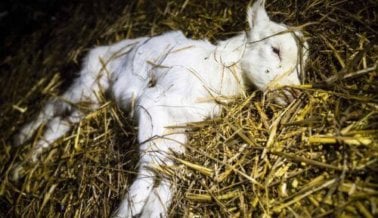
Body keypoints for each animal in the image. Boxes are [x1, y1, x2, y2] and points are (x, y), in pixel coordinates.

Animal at [14, 0, 308, 217]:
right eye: (275, 49)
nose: (295, 93)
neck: (216, 70)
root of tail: (100, 48)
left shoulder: (178, 128)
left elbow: (169, 171)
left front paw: (151, 210)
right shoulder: (153, 105)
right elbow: (150, 167)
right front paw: (126, 212)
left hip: (93, 100)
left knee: (61, 122)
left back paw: (28, 160)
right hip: (88, 82)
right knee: (52, 105)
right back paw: (19, 147)